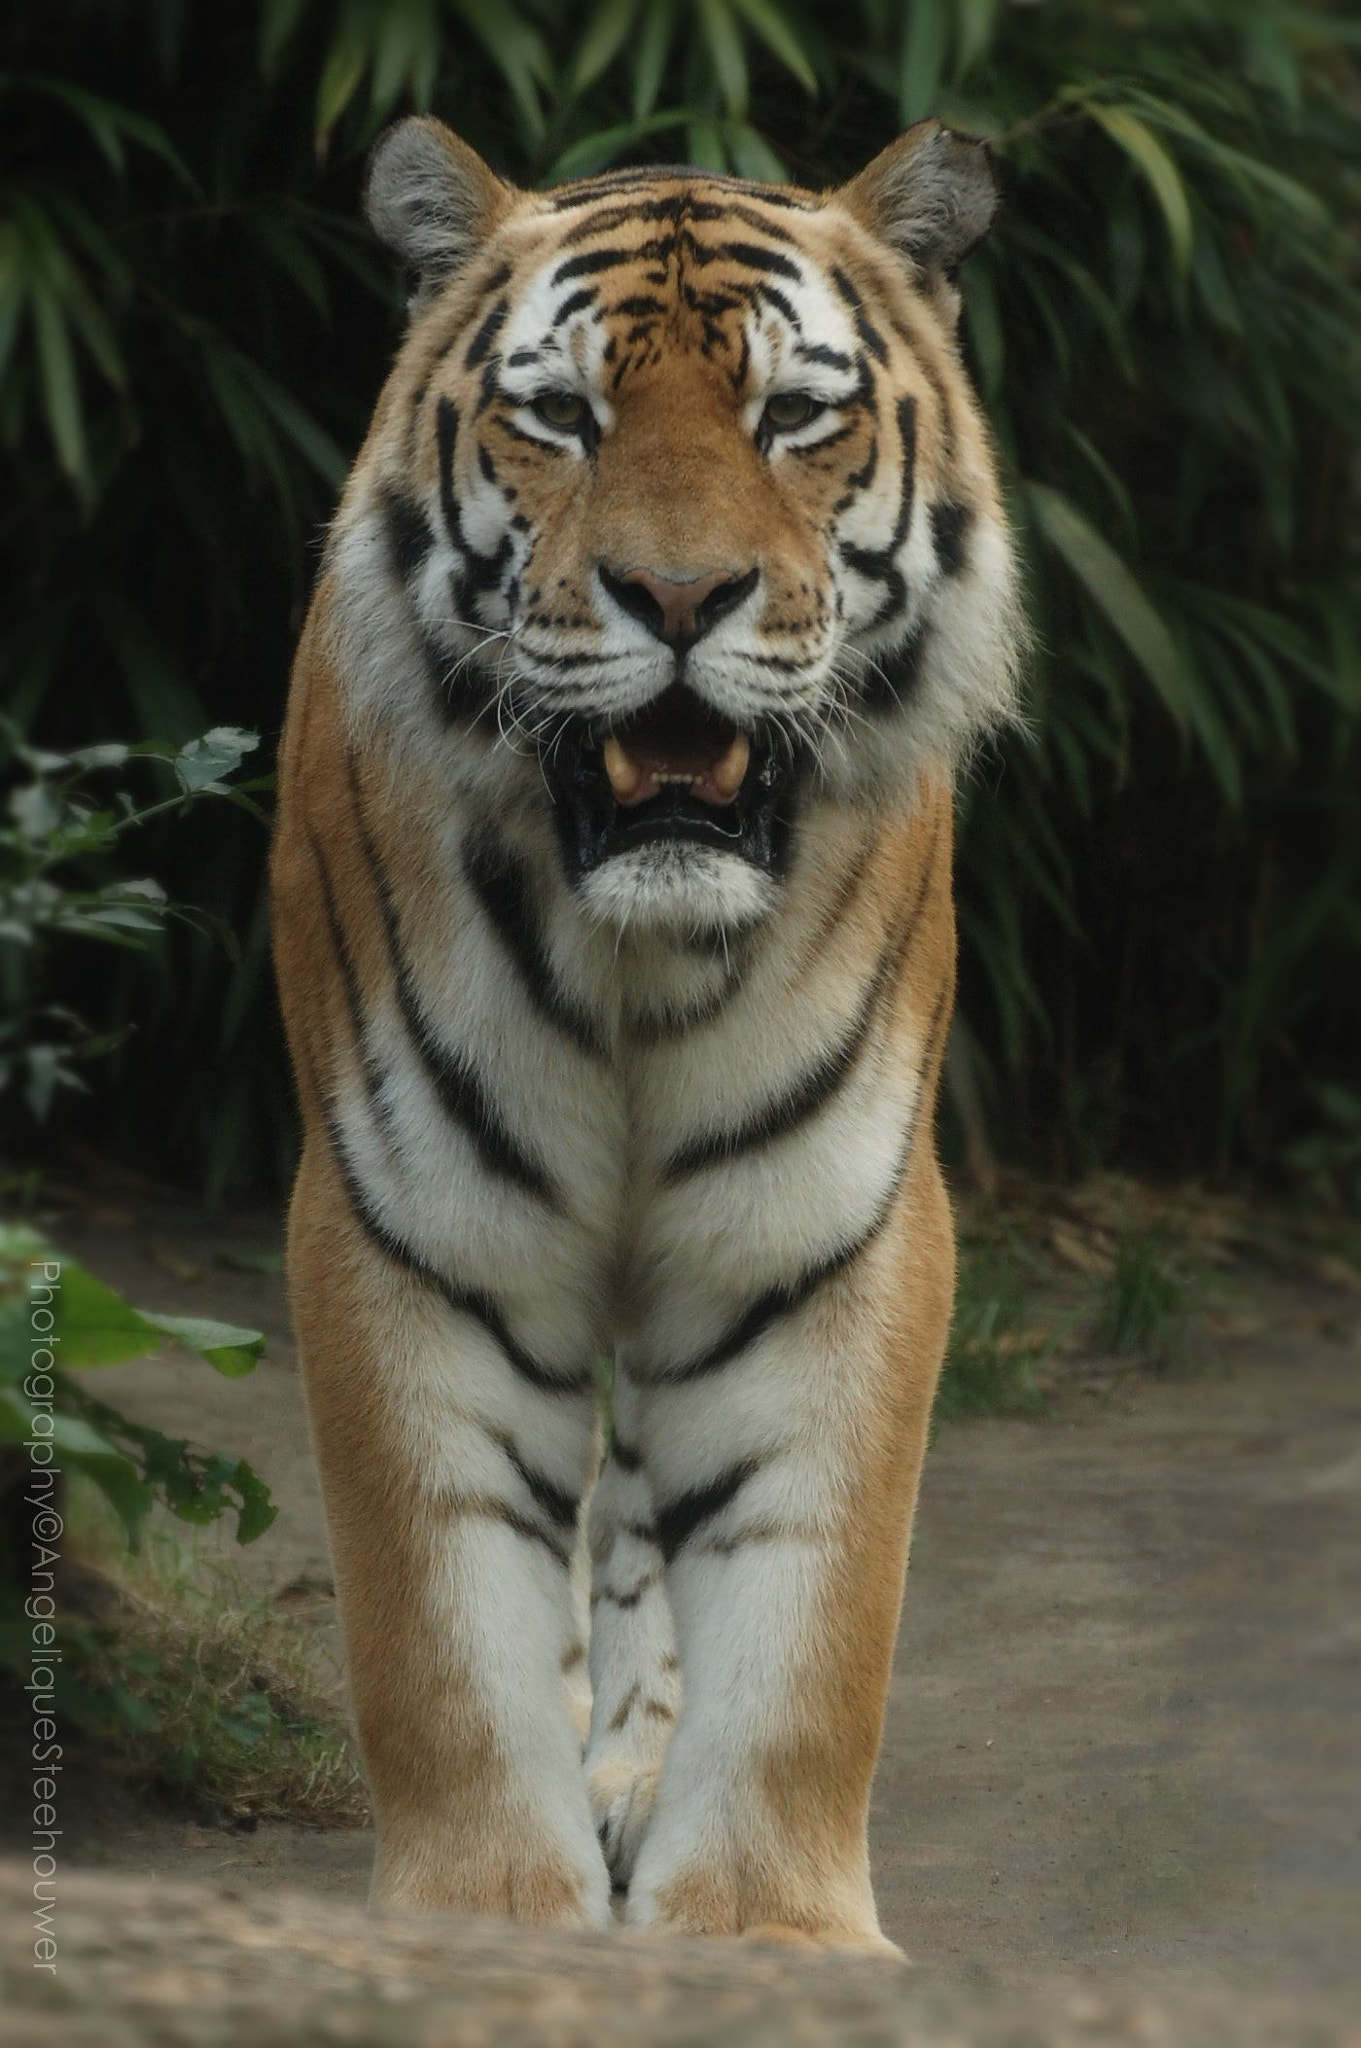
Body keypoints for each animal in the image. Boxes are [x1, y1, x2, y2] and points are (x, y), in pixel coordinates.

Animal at [270, 112, 1022, 1955]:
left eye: (793, 416)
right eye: (561, 416)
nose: (679, 594)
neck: (638, 961)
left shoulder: (820, 1234)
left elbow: (802, 1630)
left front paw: (763, 1930)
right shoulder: (413, 1224)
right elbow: (443, 1627)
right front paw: (487, 1913)